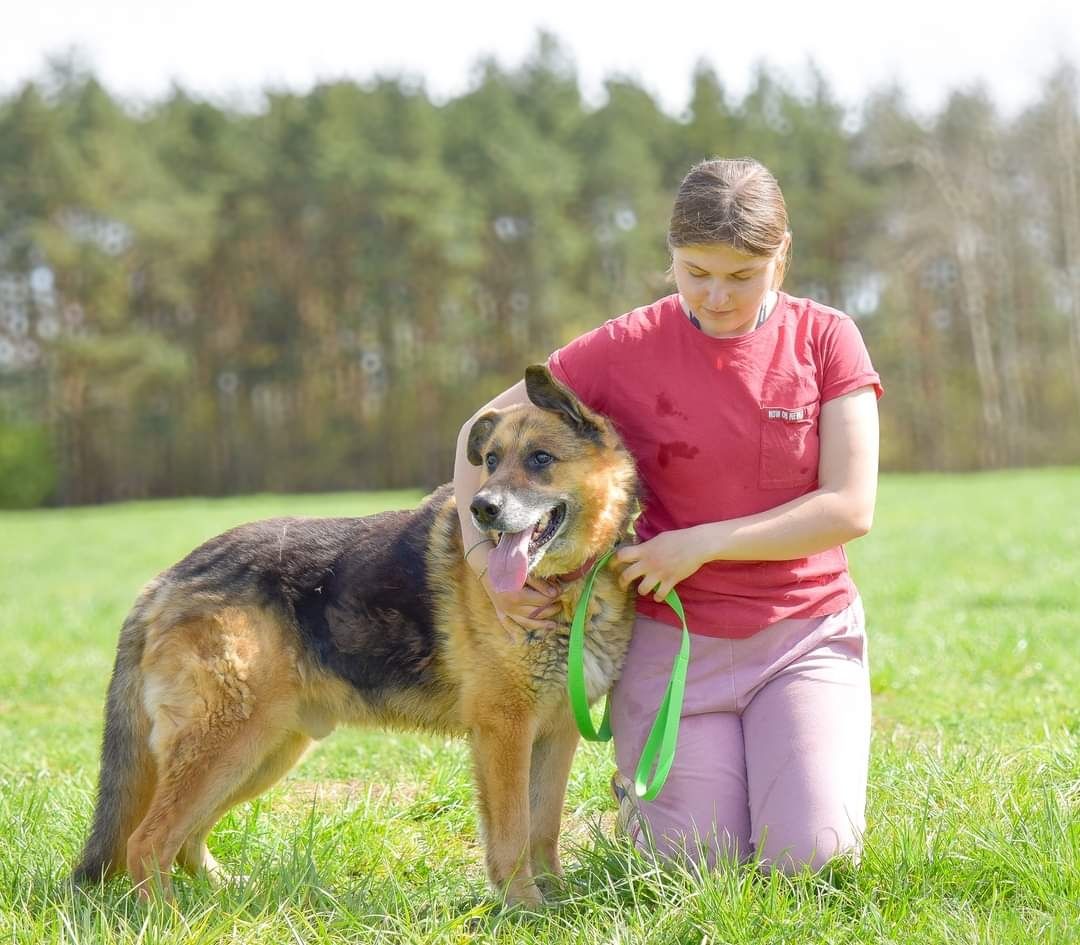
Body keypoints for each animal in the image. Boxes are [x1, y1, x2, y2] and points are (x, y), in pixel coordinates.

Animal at [73, 365, 639, 907]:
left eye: (541, 459)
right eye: (492, 461)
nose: (481, 509)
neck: (569, 587)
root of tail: (168, 577)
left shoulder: (556, 733)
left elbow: (544, 828)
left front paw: (558, 897)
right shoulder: (505, 732)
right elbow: (514, 831)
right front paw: (524, 906)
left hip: (263, 751)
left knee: (185, 839)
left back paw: (223, 894)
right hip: (228, 742)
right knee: (147, 842)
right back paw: (168, 918)